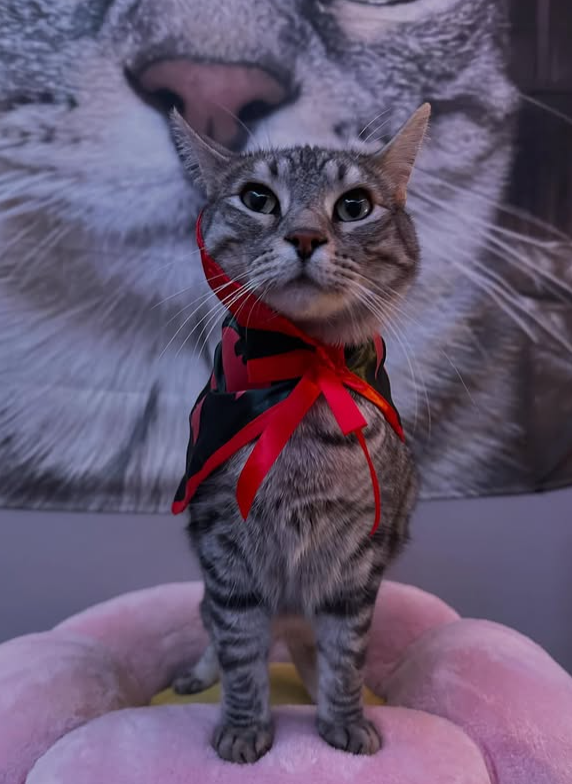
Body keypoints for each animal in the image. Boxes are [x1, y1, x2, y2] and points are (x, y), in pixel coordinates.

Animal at [167, 104, 428, 763]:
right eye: (258, 198)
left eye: (355, 205)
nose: (307, 237)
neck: (304, 371)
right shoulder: (226, 555)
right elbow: (239, 656)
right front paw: (242, 727)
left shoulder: (356, 567)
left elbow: (345, 658)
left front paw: (343, 719)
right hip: (211, 591)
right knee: (216, 635)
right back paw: (198, 673)